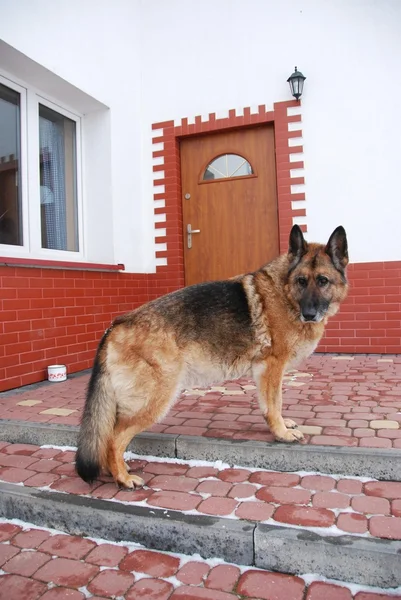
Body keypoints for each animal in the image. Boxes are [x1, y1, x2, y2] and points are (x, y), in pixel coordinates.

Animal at [76, 225, 346, 488]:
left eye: (323, 281)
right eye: (301, 281)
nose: (309, 314)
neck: (284, 292)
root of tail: (117, 324)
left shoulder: (266, 372)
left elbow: (273, 404)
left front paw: (283, 424)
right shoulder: (271, 368)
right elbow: (274, 404)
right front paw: (281, 433)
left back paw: (119, 470)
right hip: (155, 399)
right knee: (113, 438)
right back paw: (123, 478)